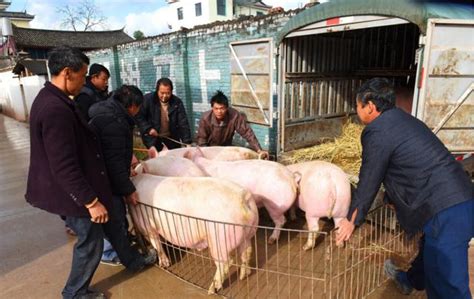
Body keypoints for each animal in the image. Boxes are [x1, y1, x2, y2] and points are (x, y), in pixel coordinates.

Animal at [129, 175, 260, 294]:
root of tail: (243, 198)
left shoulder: (147, 226)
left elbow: (156, 243)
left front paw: (164, 265)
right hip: (247, 234)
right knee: (246, 252)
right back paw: (244, 275)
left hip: (219, 239)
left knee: (226, 262)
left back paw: (211, 290)